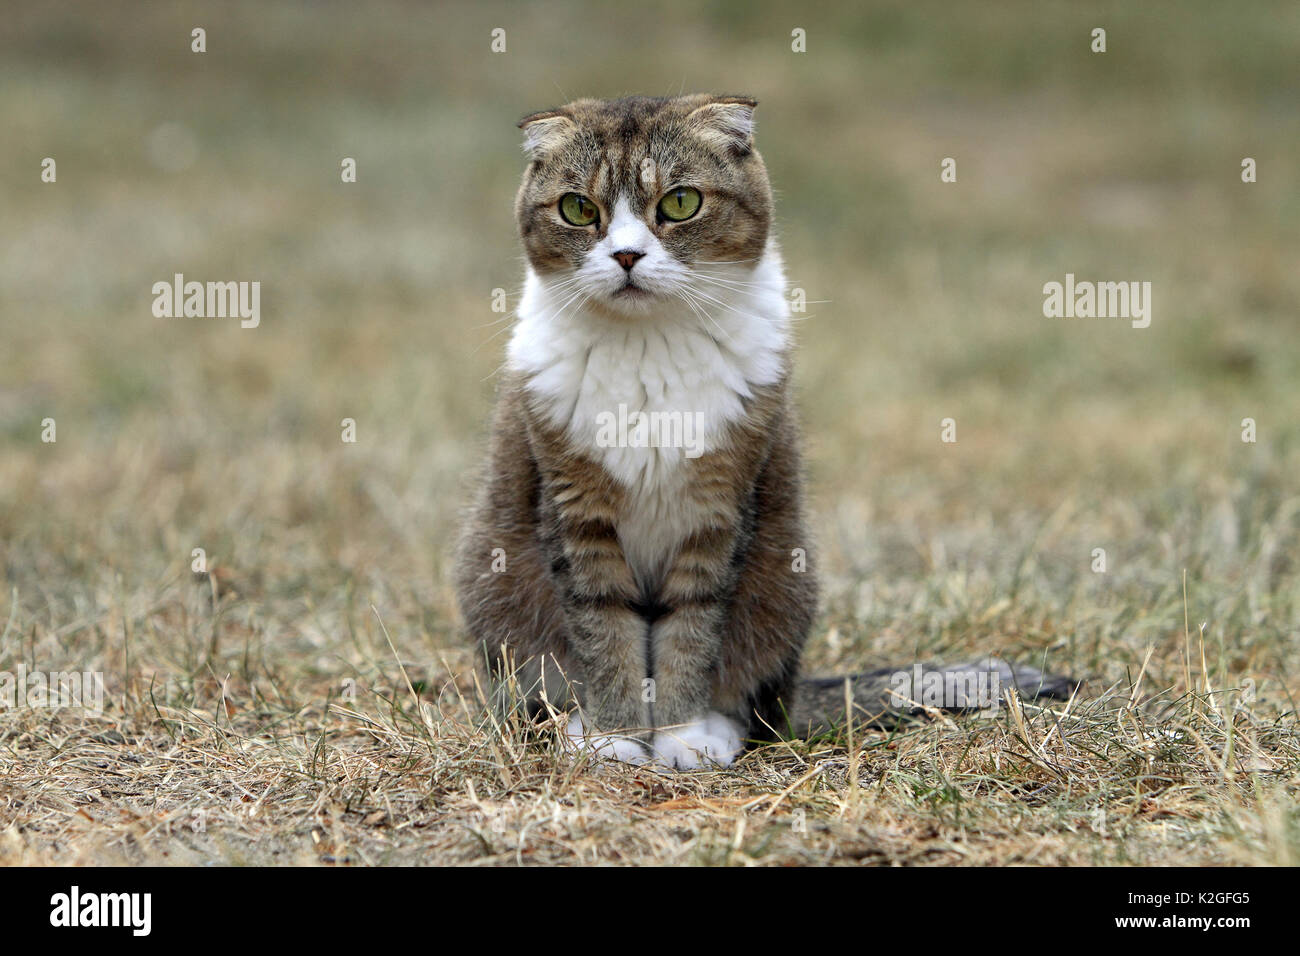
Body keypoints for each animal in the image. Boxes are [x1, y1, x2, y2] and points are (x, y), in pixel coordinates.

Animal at [452, 97, 1071, 770]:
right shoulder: (576, 510)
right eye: (578, 209)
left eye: (680, 202)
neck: (647, 345)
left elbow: (692, 632)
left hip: (783, 586)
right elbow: (604, 631)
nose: (625, 256)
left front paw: (681, 735)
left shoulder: (719, 509)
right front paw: (615, 738)